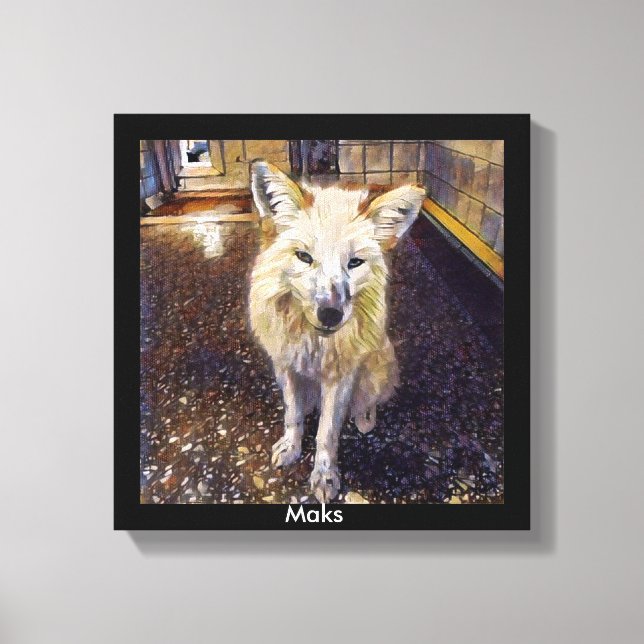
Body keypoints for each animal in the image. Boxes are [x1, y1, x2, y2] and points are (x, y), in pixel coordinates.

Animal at [249, 160, 425, 503]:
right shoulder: (286, 368)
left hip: (373, 375)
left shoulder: (339, 379)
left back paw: (364, 420)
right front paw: (291, 448)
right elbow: (293, 416)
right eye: (304, 257)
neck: (313, 346)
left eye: (354, 262)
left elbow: (327, 434)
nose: (330, 314)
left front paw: (325, 476)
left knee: (367, 403)